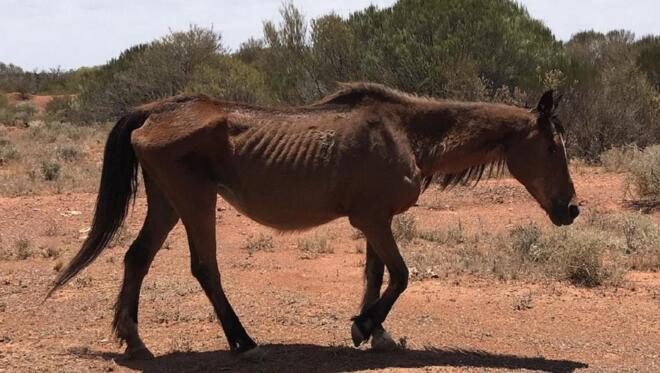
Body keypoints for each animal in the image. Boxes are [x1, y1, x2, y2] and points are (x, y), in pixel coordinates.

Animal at [49, 83, 580, 358]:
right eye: (554, 148)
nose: (572, 208)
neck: (406, 132)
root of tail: (156, 110)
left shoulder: (373, 222)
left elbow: (376, 275)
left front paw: (374, 331)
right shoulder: (374, 220)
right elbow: (401, 276)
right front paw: (364, 325)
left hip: (167, 202)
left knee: (136, 258)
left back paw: (134, 341)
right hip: (194, 201)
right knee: (205, 269)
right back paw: (242, 341)